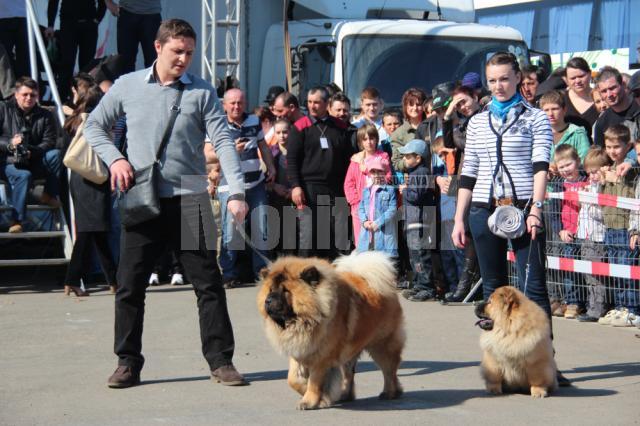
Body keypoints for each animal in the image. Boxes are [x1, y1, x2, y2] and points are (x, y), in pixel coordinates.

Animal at [256, 251, 402, 412]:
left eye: (286, 291)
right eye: (270, 290)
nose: (268, 300)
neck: (304, 321)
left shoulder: (321, 357)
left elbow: (314, 382)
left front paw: (310, 401)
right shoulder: (299, 351)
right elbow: (292, 379)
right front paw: (321, 397)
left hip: (381, 345)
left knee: (389, 371)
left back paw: (389, 393)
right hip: (348, 352)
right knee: (349, 374)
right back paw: (346, 395)